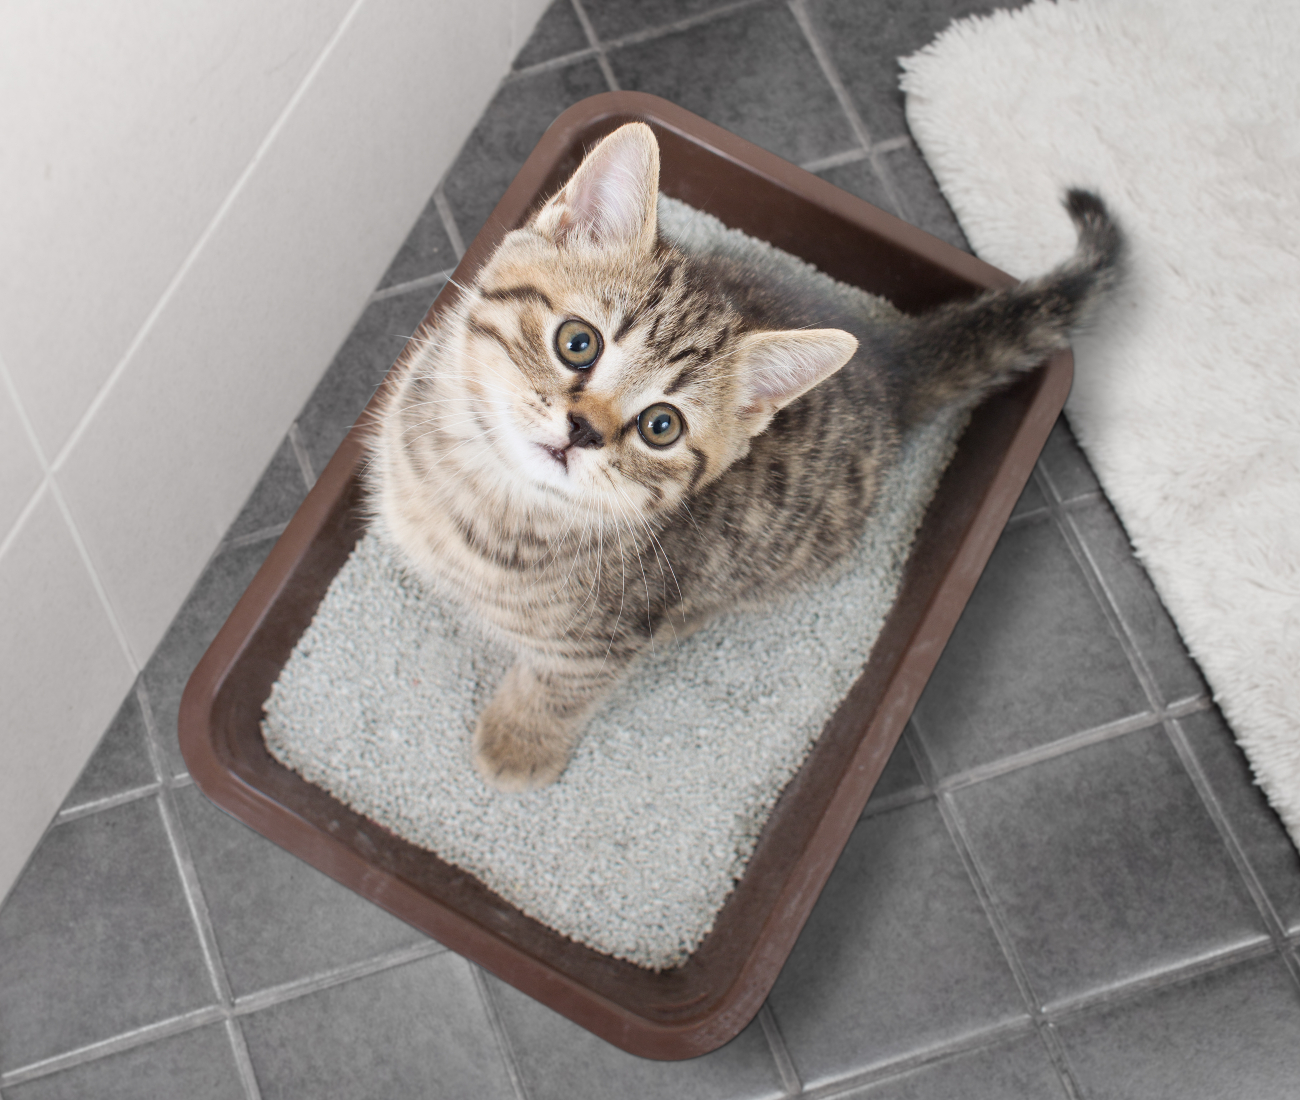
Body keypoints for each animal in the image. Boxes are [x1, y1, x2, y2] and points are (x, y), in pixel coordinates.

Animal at [366, 120, 1118, 790]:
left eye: (661, 426)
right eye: (577, 342)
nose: (584, 431)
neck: (481, 491)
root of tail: (887, 363)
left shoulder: (606, 637)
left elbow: (560, 687)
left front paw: (521, 743)